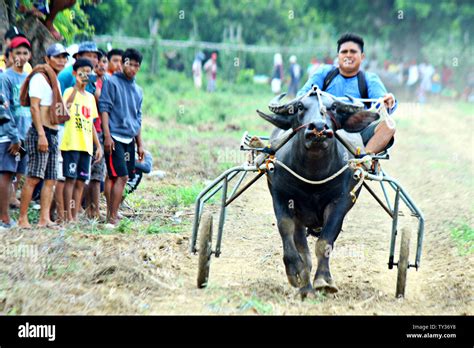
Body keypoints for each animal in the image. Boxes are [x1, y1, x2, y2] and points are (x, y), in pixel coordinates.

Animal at [258, 88, 380, 298]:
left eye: (334, 107)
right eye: (299, 107)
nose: (318, 128)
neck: (313, 175)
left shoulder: (340, 202)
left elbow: (326, 240)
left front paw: (324, 280)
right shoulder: (281, 196)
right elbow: (286, 230)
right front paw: (296, 272)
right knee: (301, 245)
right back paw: (305, 286)